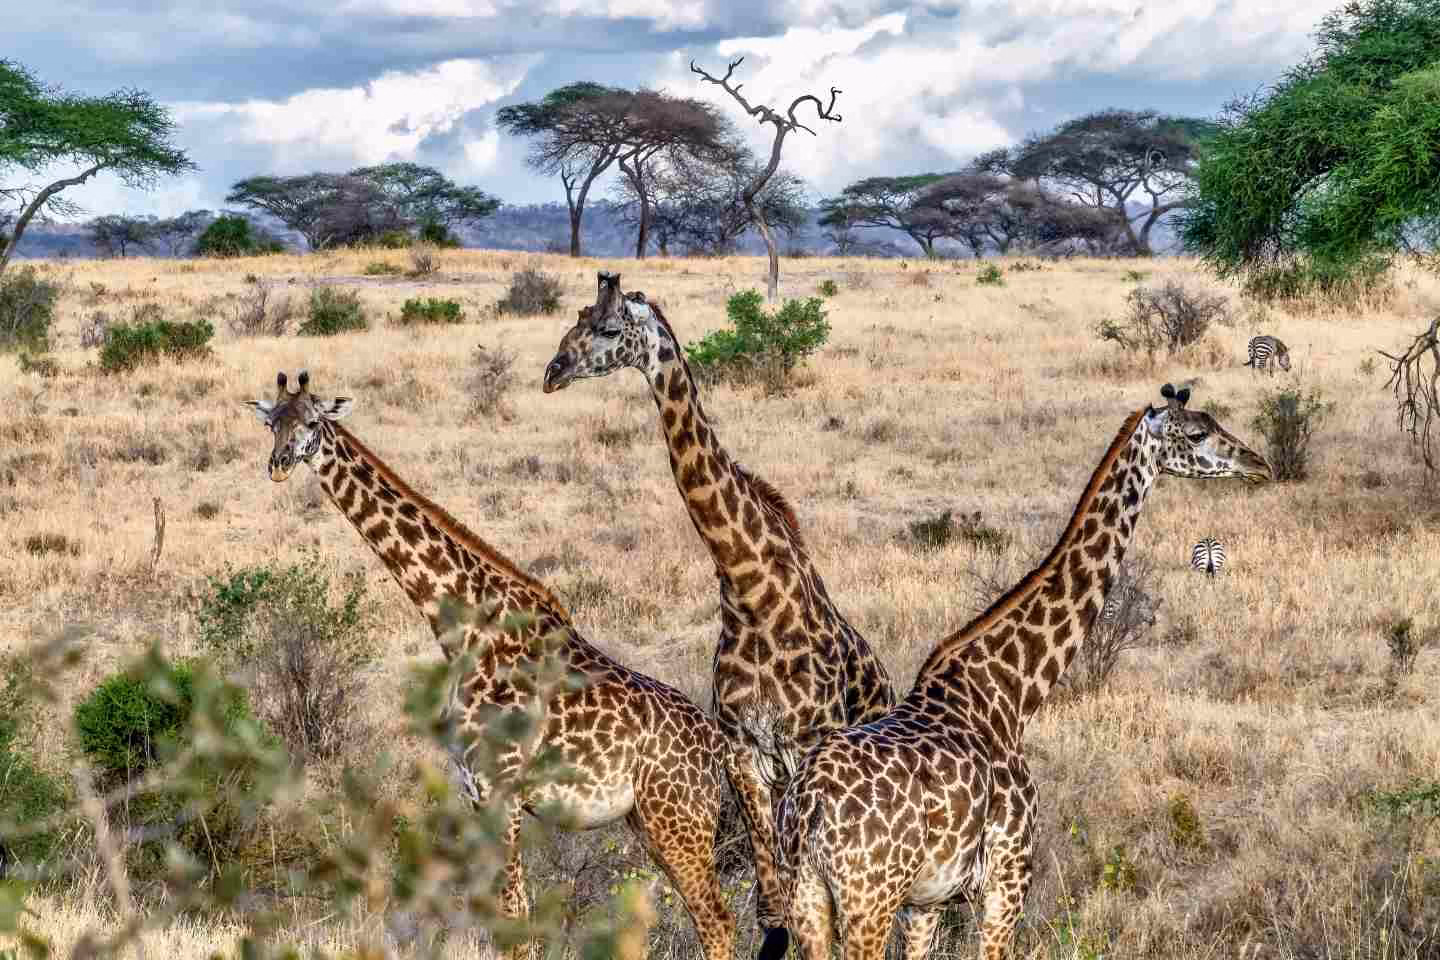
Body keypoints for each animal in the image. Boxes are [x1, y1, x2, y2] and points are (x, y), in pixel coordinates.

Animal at [244, 370, 734, 960]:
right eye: (272, 423)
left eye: (313, 422)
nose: (278, 464)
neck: (465, 631)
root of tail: (721, 749)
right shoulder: (474, 793)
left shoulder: (501, 791)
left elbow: (516, 920)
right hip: (649, 821)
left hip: (678, 819)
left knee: (717, 919)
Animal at [542, 274, 896, 959]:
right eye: (575, 319)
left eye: (607, 328)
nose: (553, 371)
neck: (752, 591)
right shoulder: (744, 755)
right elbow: (771, 908)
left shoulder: (803, 750)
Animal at [776, 383, 1272, 960]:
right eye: (1195, 433)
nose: (1259, 465)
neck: (1010, 693)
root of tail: (809, 807)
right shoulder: (1009, 878)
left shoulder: (927, 901)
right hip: (867, 900)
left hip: (806, 897)